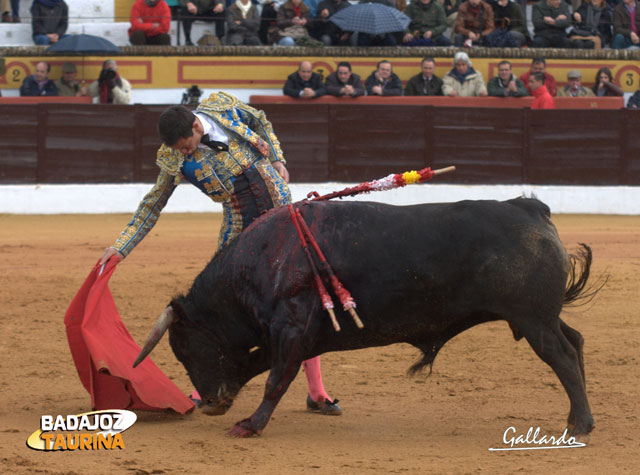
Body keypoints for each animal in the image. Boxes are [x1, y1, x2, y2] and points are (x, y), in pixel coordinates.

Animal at [135, 198, 596, 438]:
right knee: (574, 341)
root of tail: (531, 208)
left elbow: (275, 379)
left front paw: (250, 425)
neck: (263, 260)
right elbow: (259, 367)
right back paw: (575, 417)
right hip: (540, 318)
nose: (211, 401)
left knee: (562, 357)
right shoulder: (290, 336)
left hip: (533, 319)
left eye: (184, 348)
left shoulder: (289, 330)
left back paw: (583, 425)